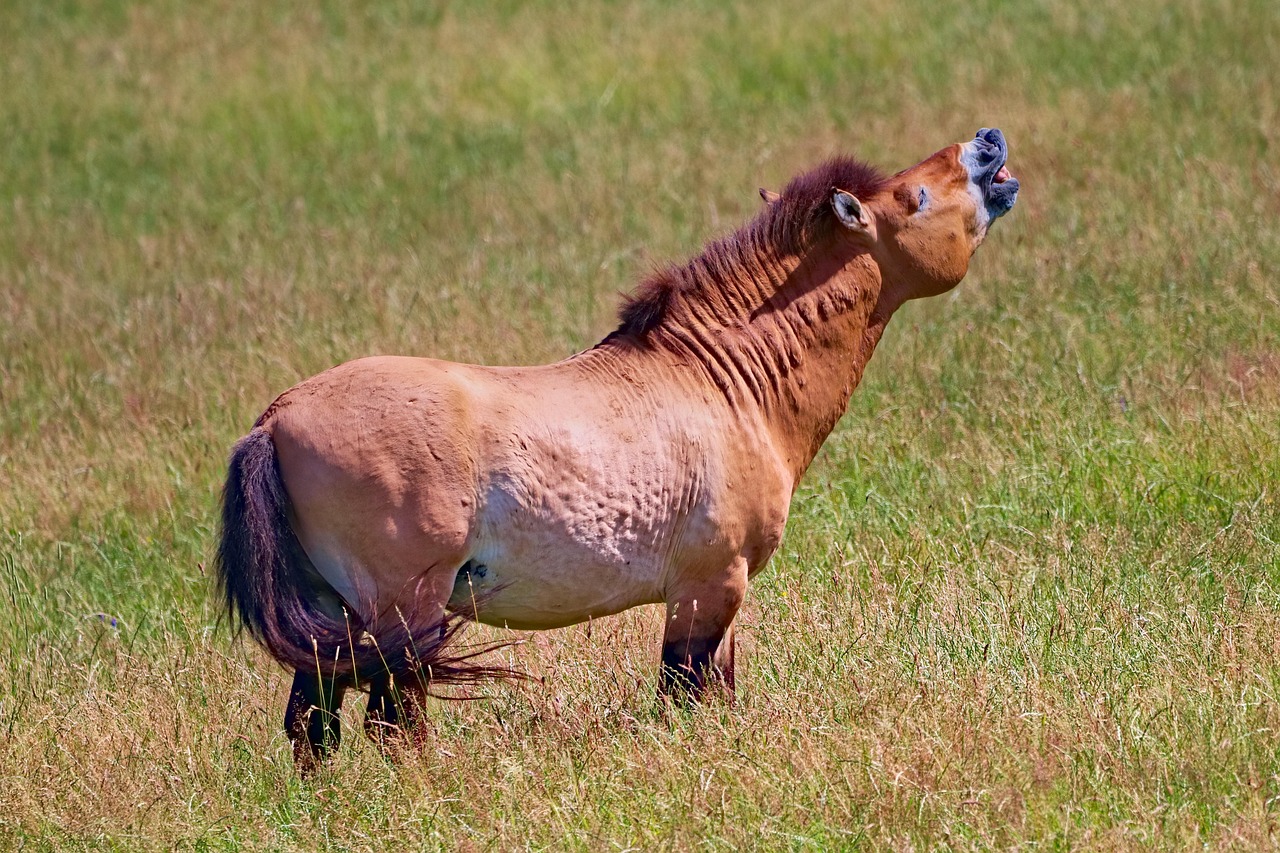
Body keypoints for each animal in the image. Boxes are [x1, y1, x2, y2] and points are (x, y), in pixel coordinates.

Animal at [217, 128, 1019, 768]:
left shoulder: (720, 594)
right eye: (916, 196)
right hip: (403, 611)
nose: (987, 143)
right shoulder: (709, 586)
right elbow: (686, 694)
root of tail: (276, 419)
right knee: (391, 723)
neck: (720, 382)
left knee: (313, 724)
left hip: (338, 615)